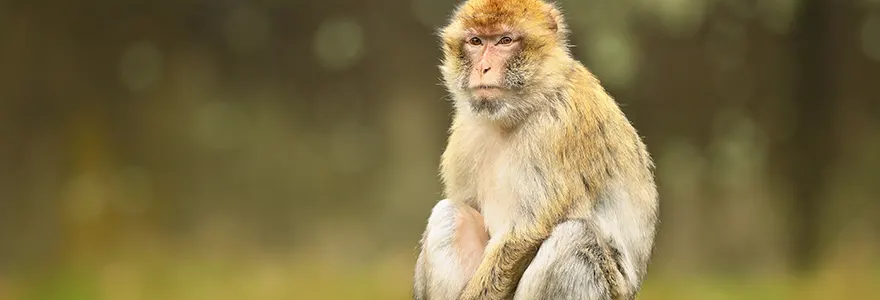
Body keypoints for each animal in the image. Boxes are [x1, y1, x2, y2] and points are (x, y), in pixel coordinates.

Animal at [414, 0, 660, 300]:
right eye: (476, 41)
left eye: (505, 41)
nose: (483, 67)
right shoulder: (465, 132)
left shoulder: (557, 130)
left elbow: (526, 233)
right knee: (451, 215)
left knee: (573, 238)